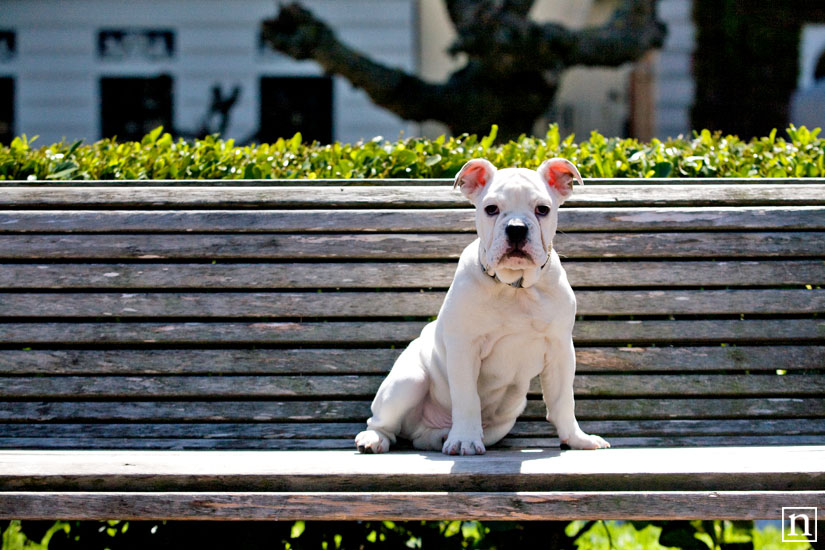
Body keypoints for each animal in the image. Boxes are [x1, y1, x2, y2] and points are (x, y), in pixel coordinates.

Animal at [356, 158, 612, 458]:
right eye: (491, 209)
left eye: (543, 209)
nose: (516, 227)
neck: (515, 286)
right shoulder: (464, 348)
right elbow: (467, 398)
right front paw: (465, 440)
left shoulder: (560, 351)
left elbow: (562, 400)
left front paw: (575, 438)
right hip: (408, 380)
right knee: (382, 421)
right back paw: (375, 439)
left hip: (506, 416)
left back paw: (441, 437)